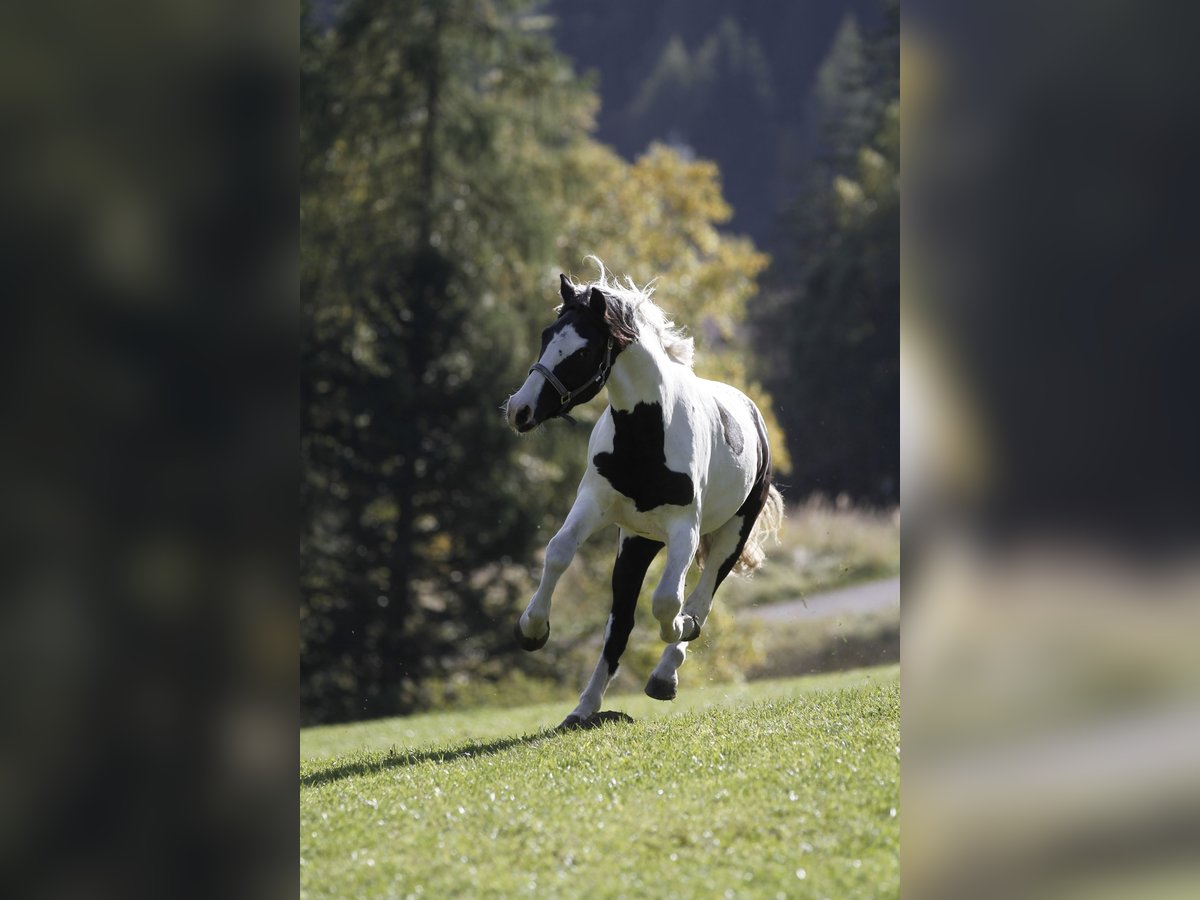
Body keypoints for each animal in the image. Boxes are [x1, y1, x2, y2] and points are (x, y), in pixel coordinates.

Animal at [501, 262, 782, 734]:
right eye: (546, 334)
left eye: (582, 352)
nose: (519, 410)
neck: (647, 434)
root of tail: (752, 413)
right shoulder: (595, 505)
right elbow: (558, 552)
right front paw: (532, 629)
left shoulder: (685, 530)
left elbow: (669, 602)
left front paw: (678, 632)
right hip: (637, 542)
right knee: (620, 624)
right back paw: (583, 709)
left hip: (730, 535)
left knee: (701, 599)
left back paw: (666, 672)